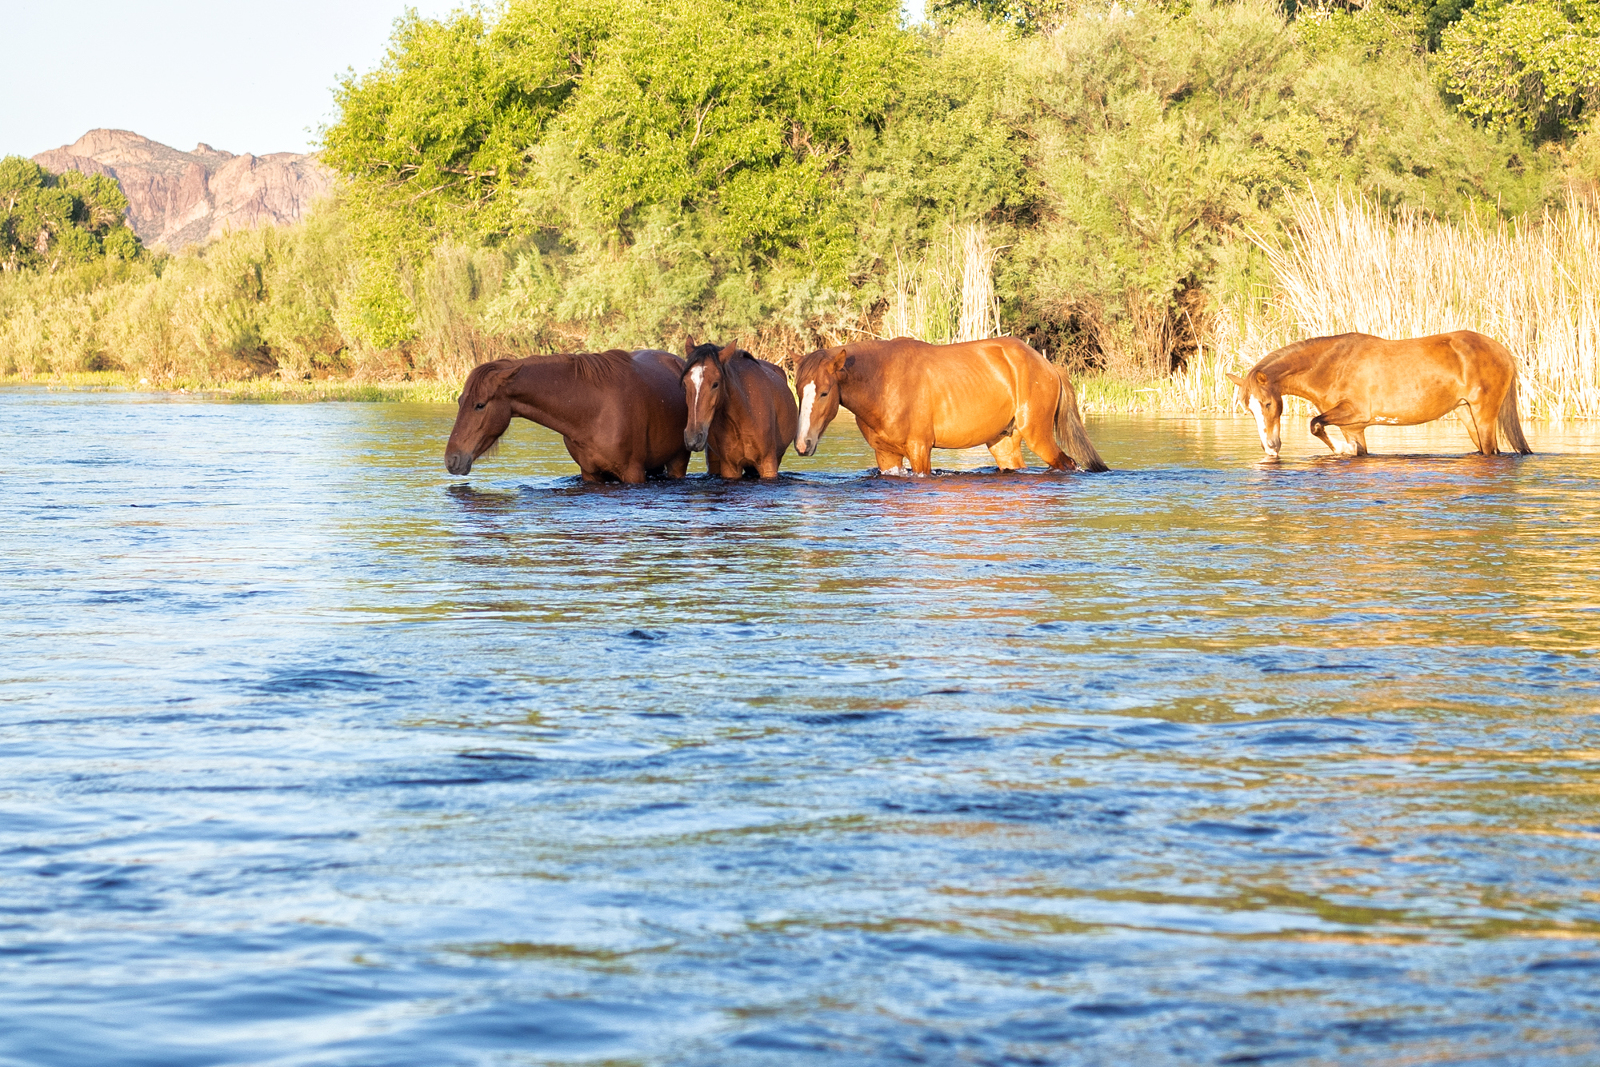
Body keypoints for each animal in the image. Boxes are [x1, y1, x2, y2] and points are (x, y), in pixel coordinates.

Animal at [441, 350, 691, 483]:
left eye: (480, 405)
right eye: (460, 401)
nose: (452, 459)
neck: (593, 411)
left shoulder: (633, 473)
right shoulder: (590, 474)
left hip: (678, 461)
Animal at [681, 337, 800, 479]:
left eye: (715, 384)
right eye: (685, 384)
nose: (692, 438)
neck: (744, 416)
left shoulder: (768, 465)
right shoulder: (730, 467)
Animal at [793, 337, 1107, 476]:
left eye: (824, 392)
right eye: (797, 390)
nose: (802, 444)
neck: (883, 380)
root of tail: (1048, 365)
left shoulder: (920, 449)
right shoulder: (886, 455)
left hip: (1039, 436)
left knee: (1067, 464)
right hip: (1004, 443)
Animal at [1228, 331, 1529, 460]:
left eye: (1268, 403)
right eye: (1250, 409)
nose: (1270, 446)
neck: (1332, 364)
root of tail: (1502, 351)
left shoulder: (1355, 411)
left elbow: (1314, 424)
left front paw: (1341, 449)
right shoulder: (1353, 426)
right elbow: (1355, 447)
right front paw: (1346, 449)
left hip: (1484, 415)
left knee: (1491, 451)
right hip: (1466, 414)